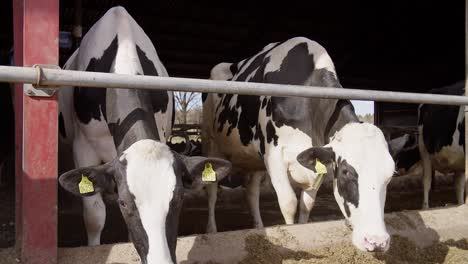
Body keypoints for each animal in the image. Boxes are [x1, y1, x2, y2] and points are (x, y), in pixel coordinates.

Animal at [203, 36, 396, 252]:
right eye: (346, 172)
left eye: (390, 175)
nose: (377, 241)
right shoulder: (274, 157)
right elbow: (289, 203)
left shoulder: (315, 164)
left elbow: (306, 205)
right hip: (211, 143)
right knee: (212, 190)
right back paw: (211, 230)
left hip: (254, 159)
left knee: (252, 192)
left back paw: (258, 227)